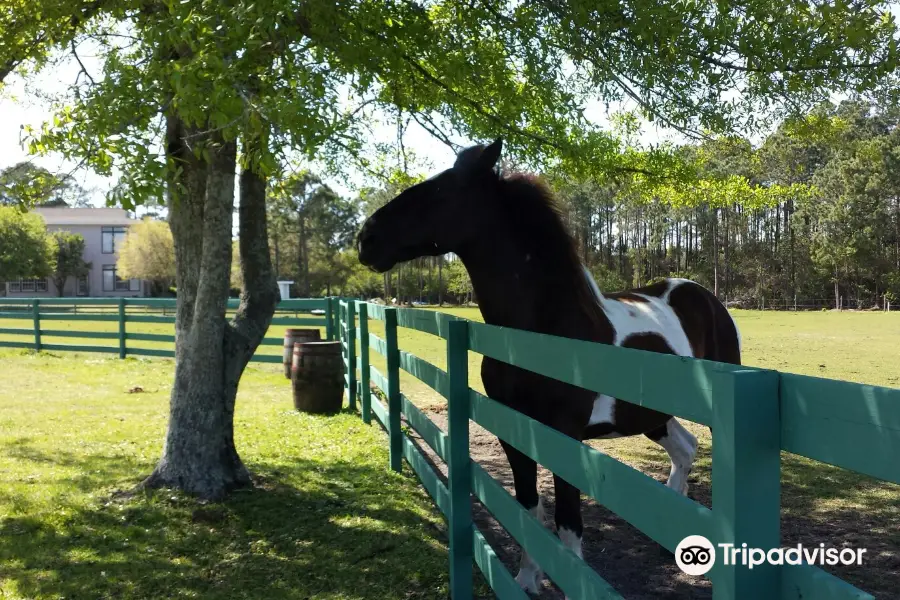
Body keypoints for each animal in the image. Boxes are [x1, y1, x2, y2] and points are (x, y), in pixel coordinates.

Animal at [356, 137, 740, 596]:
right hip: (652, 416)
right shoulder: (515, 433)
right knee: (685, 450)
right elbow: (528, 508)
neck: (544, 331)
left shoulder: (565, 436)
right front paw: (526, 579)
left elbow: (568, 521)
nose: (366, 238)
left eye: (440, 192)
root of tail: (706, 297)